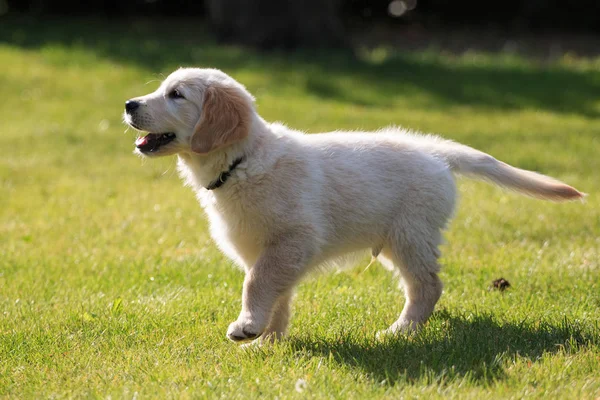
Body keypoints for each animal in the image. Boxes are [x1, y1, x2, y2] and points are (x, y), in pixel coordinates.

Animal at [123, 67, 584, 342]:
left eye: (176, 95)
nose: (128, 104)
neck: (242, 162)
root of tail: (434, 152)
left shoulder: (293, 239)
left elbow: (257, 283)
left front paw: (248, 326)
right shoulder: (265, 249)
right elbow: (276, 291)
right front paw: (269, 338)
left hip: (410, 234)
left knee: (427, 286)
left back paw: (400, 331)